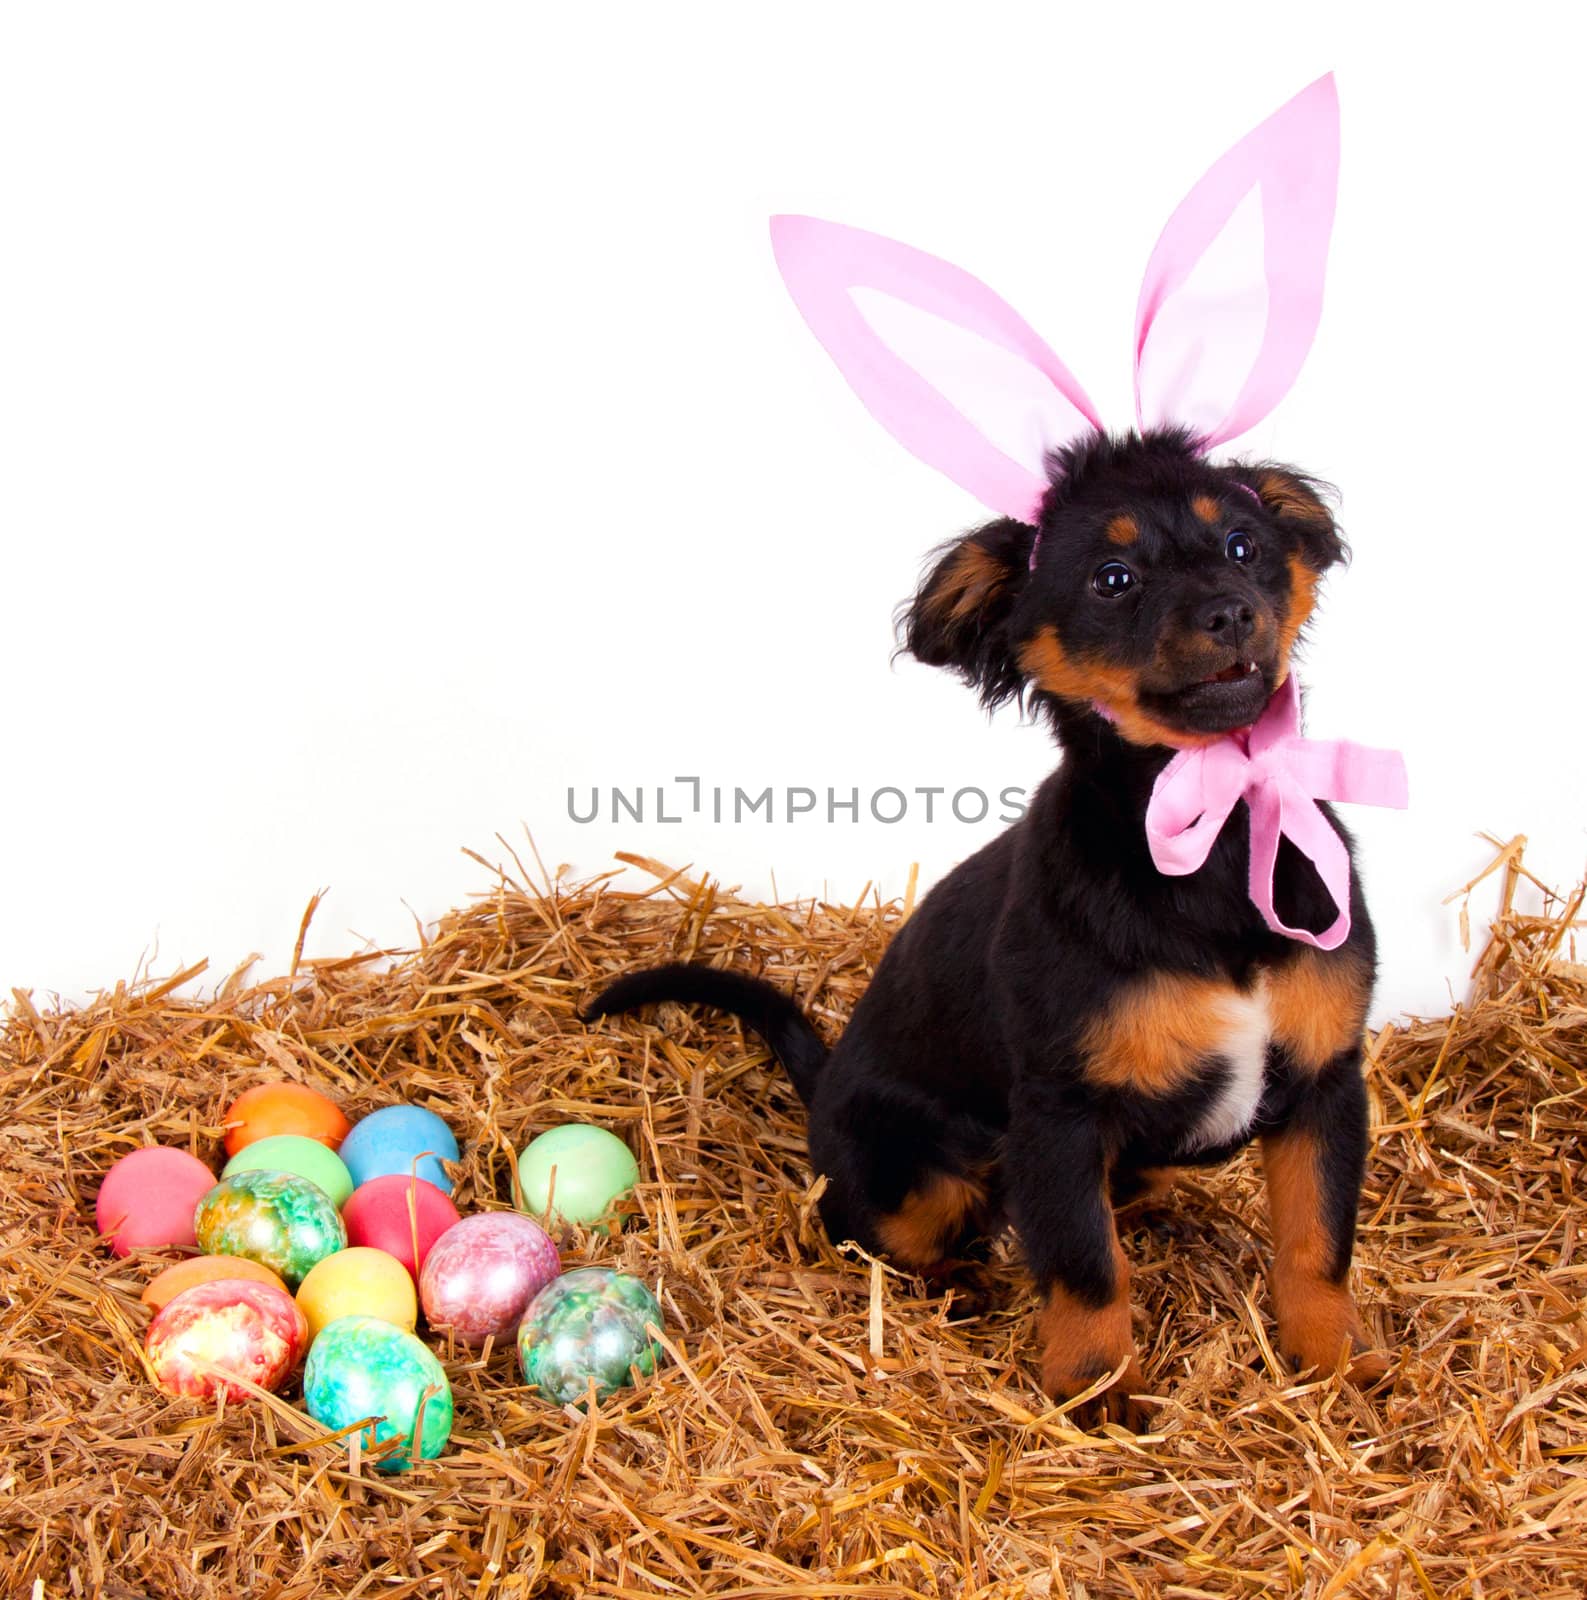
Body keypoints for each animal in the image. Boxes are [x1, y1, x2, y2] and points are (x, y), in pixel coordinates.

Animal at [585, 428, 1388, 1427]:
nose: (1232, 612)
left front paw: (1338, 1363)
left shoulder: (1324, 1079)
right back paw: (959, 1285)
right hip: (918, 1167)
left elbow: (1317, 1246)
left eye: (1244, 546)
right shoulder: (1059, 1112)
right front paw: (1096, 1394)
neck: (1215, 842)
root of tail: (826, 1083)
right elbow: (1086, 1271)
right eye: (1113, 578)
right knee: (870, 1232)